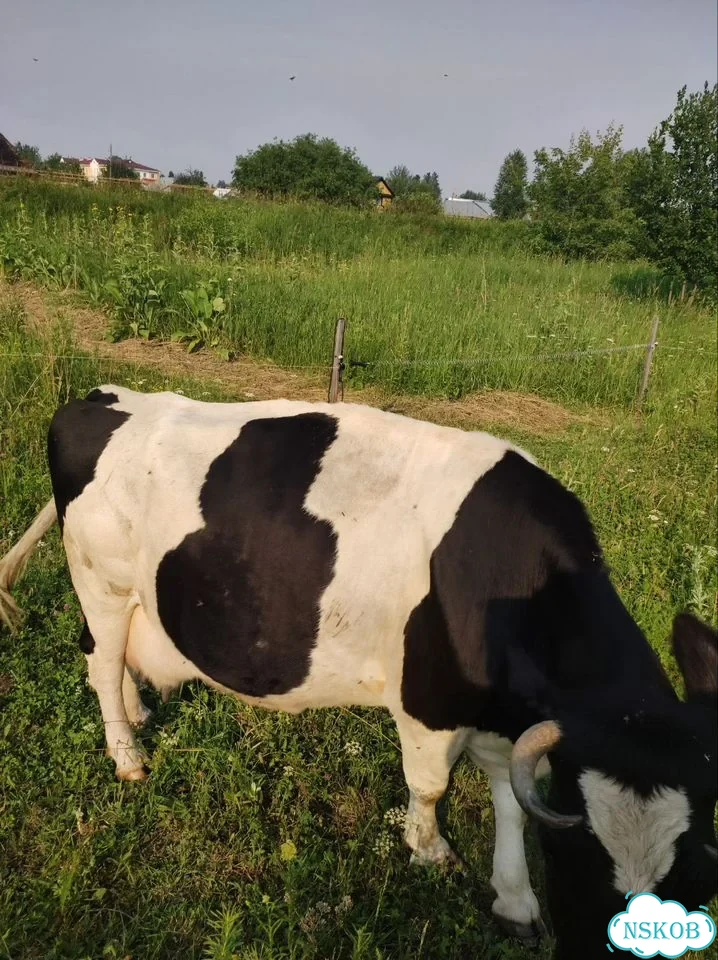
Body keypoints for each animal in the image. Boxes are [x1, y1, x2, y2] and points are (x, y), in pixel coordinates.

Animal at [0, 385, 715, 960]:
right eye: (584, 860)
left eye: (692, 872)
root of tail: (100, 397)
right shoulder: (429, 699)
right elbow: (431, 786)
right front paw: (430, 850)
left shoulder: (505, 714)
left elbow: (512, 799)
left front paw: (514, 901)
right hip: (101, 579)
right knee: (99, 661)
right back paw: (128, 755)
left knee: (111, 660)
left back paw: (140, 712)